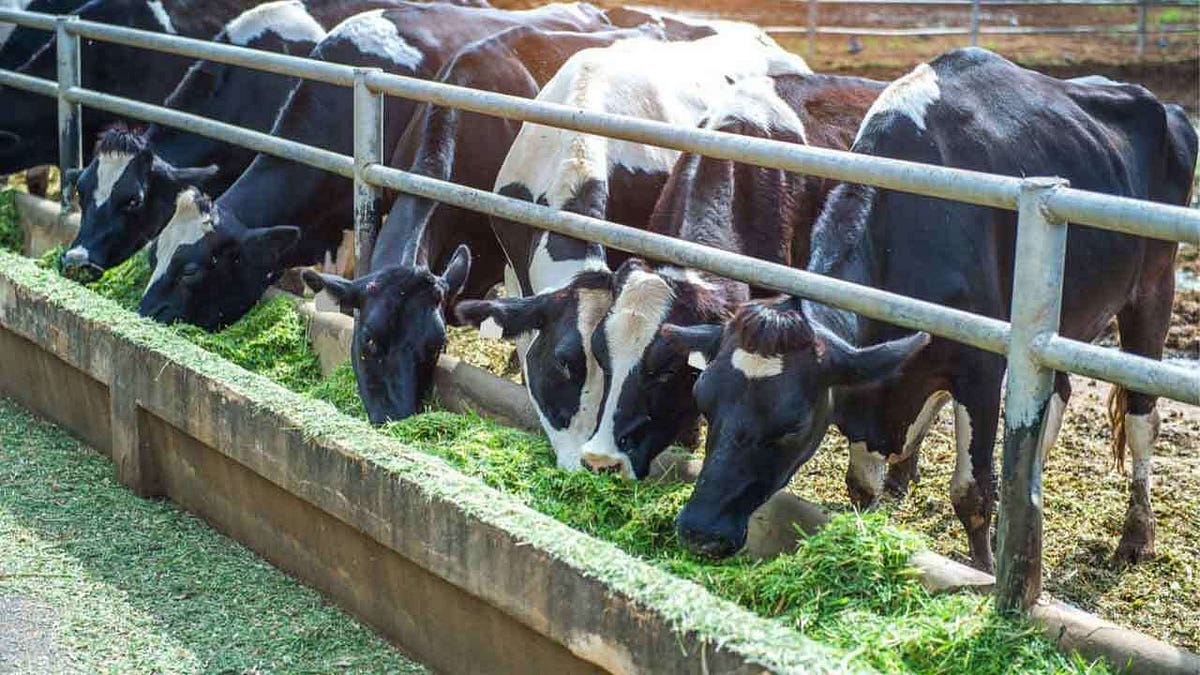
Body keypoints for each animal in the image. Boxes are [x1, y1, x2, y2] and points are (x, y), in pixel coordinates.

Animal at [662, 49, 1198, 568]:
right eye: (704, 399)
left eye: (792, 423)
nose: (699, 530)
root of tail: (1165, 106)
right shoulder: (870, 378)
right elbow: (863, 483)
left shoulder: (981, 368)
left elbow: (972, 494)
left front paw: (984, 569)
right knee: (1058, 390)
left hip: (1154, 288)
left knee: (1141, 417)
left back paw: (1136, 536)